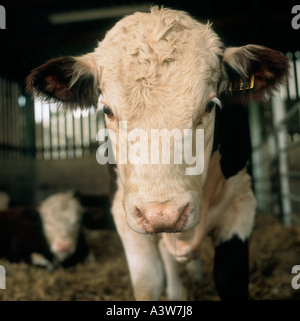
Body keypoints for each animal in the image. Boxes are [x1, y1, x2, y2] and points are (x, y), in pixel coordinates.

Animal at [26, 6, 290, 298]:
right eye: (107, 110)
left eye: (210, 105)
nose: (162, 214)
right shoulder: (125, 215)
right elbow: (148, 281)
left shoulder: (241, 204)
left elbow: (229, 277)